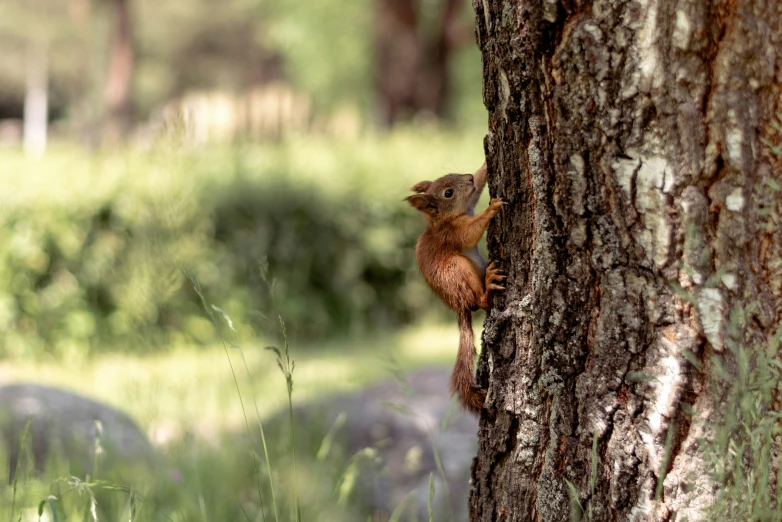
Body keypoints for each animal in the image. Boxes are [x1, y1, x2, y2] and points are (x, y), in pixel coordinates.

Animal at [408, 162, 506, 414]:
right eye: (448, 193)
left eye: (452, 175)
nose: (468, 177)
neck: (446, 220)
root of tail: (459, 305)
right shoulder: (453, 233)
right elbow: (470, 233)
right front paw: (491, 210)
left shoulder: (471, 202)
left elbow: (479, 187)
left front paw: (482, 168)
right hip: (458, 270)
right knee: (480, 302)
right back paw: (488, 288)